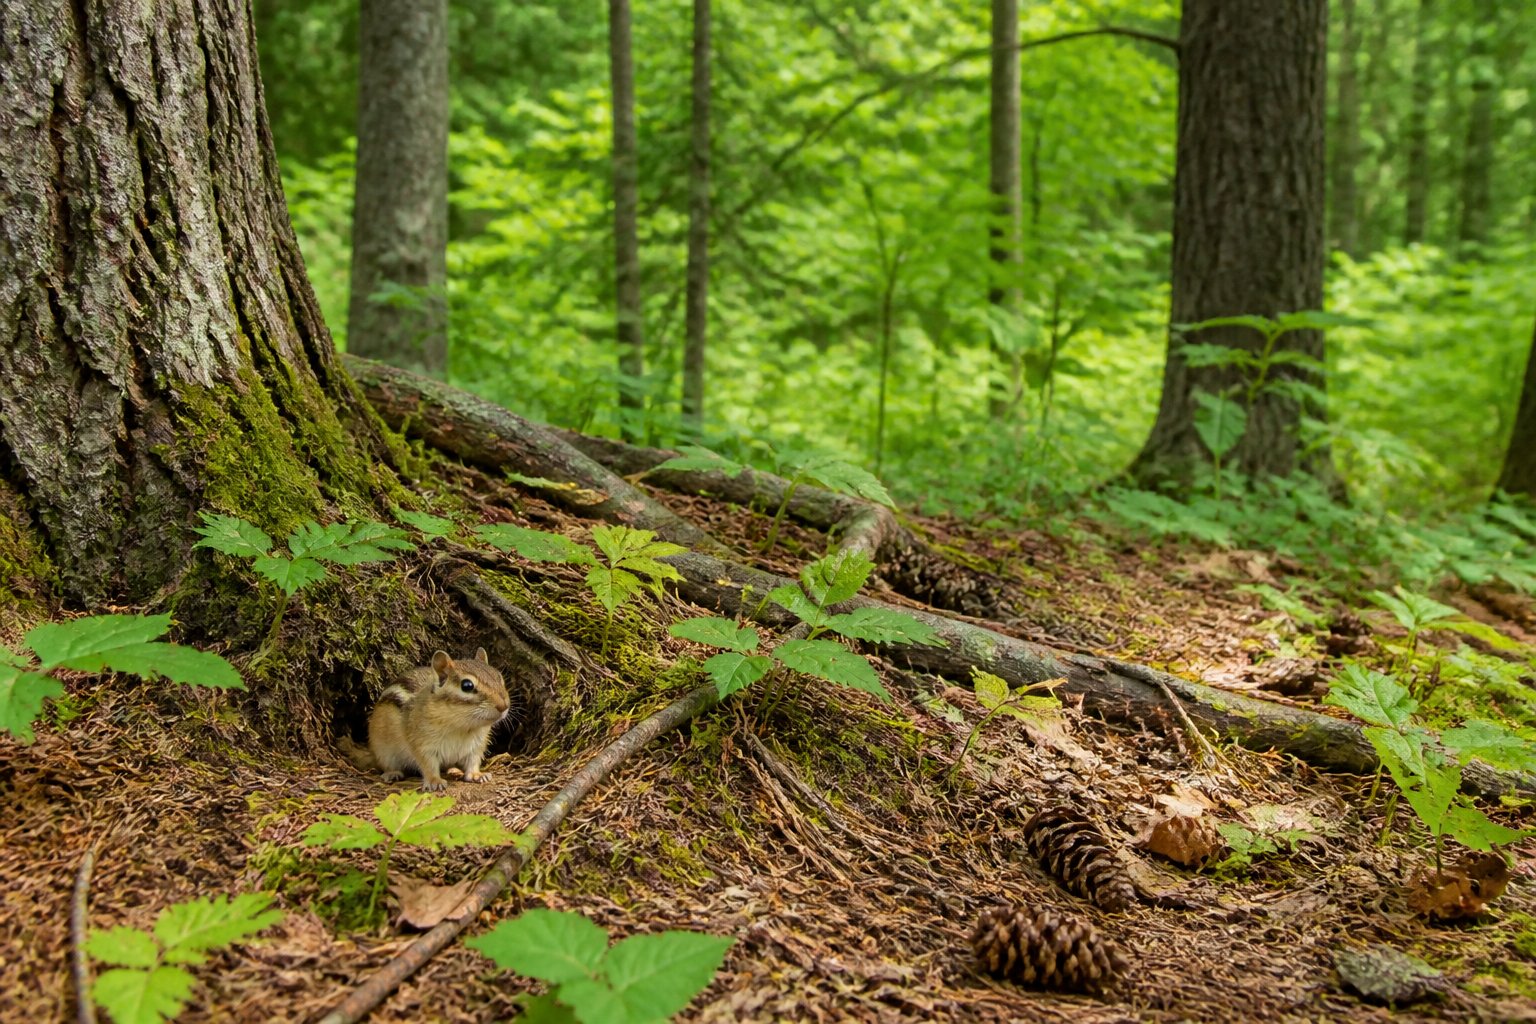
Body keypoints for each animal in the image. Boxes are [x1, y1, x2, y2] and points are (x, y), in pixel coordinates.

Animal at [339, 649, 510, 791]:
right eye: (467, 685)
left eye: (499, 677)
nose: (504, 706)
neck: (461, 726)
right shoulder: (423, 744)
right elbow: (428, 764)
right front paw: (435, 781)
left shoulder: (476, 745)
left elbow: (473, 761)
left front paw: (476, 775)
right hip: (383, 750)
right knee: (386, 764)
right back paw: (392, 773)